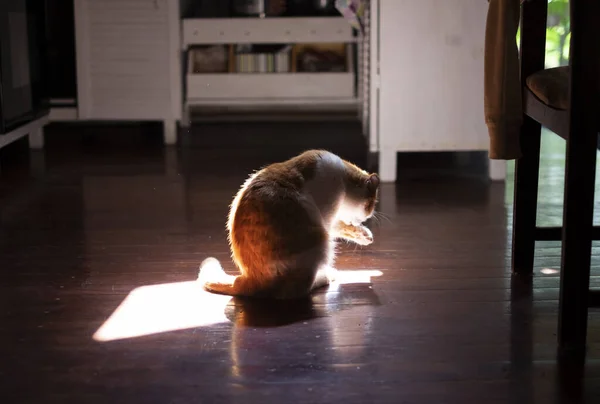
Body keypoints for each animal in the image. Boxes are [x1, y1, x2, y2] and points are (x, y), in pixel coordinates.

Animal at [200, 149, 380, 300]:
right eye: (371, 204)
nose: (369, 214)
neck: (342, 178)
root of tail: (248, 278)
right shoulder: (326, 218)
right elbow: (339, 225)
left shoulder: (333, 221)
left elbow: (344, 227)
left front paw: (364, 235)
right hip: (320, 241)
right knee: (295, 291)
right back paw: (325, 277)